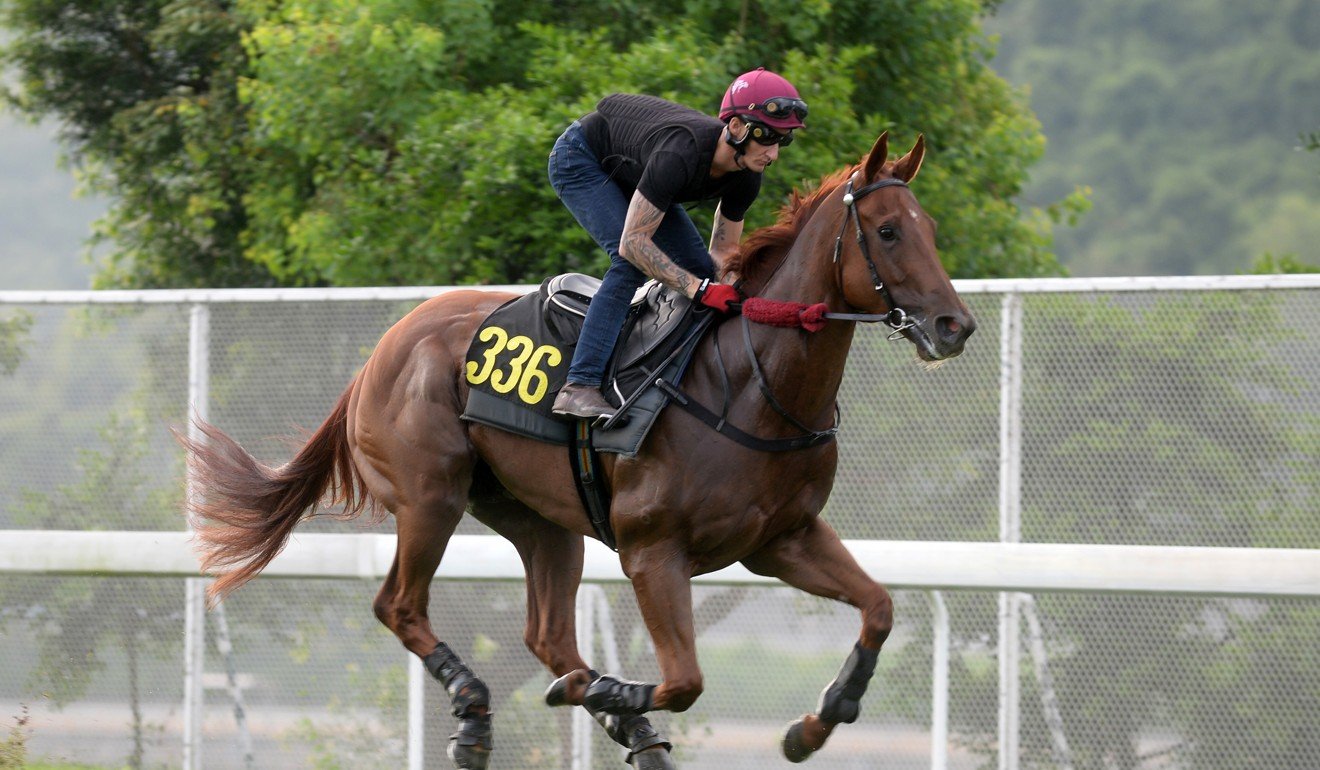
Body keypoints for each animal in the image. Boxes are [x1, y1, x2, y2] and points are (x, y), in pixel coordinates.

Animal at [180, 130, 976, 766]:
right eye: (888, 231)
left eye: (931, 227)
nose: (954, 326)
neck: (751, 383)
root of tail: (384, 349)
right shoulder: (654, 550)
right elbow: (686, 680)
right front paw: (620, 694)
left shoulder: (783, 538)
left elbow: (879, 607)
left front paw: (815, 723)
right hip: (430, 496)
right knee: (399, 604)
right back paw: (479, 711)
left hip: (540, 520)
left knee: (547, 636)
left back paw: (611, 714)